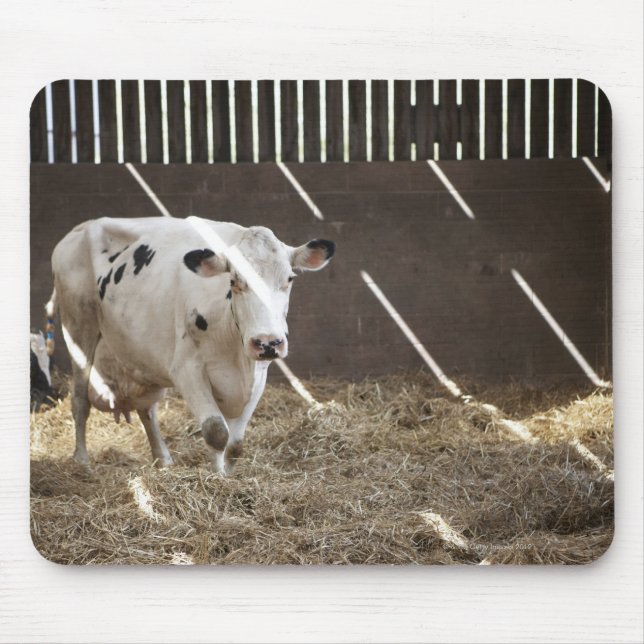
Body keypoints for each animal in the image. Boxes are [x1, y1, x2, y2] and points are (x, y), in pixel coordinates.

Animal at [47, 216, 335, 473]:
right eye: (234, 281)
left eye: (289, 279)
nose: (266, 342)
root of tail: (81, 228)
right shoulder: (187, 370)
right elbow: (217, 432)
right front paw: (217, 479)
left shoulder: (259, 375)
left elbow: (236, 444)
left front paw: (230, 478)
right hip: (79, 328)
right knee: (80, 399)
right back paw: (82, 462)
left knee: (147, 410)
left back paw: (163, 460)